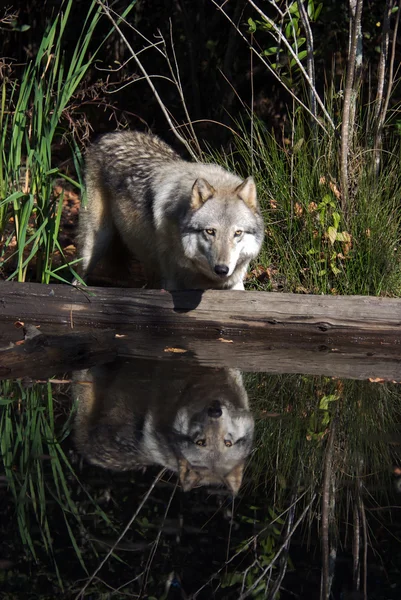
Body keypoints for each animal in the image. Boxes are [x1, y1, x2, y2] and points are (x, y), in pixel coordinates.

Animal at [79, 131, 264, 290]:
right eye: (210, 231)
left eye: (238, 233)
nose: (222, 269)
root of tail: (110, 135)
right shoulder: (173, 284)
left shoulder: (234, 284)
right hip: (96, 243)